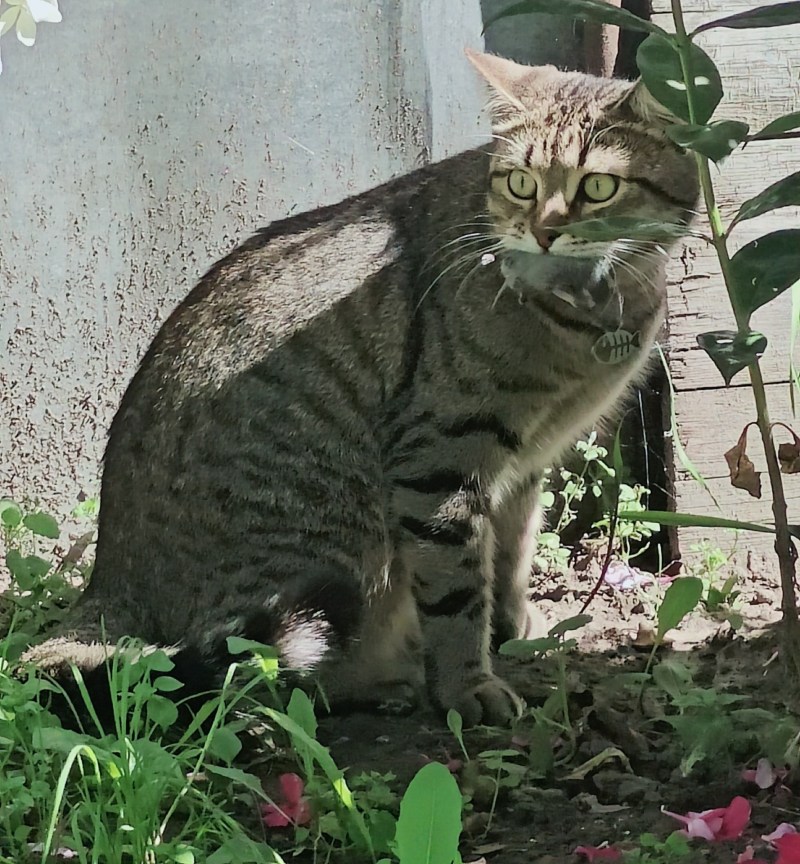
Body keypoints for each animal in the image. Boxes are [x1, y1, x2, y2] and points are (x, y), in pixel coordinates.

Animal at [24, 51, 698, 727]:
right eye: (521, 184)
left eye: (599, 187)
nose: (544, 231)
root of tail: (106, 587)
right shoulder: (441, 460)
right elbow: (458, 595)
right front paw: (467, 687)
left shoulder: (524, 465)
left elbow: (512, 554)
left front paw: (514, 629)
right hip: (339, 544)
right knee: (264, 677)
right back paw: (385, 682)